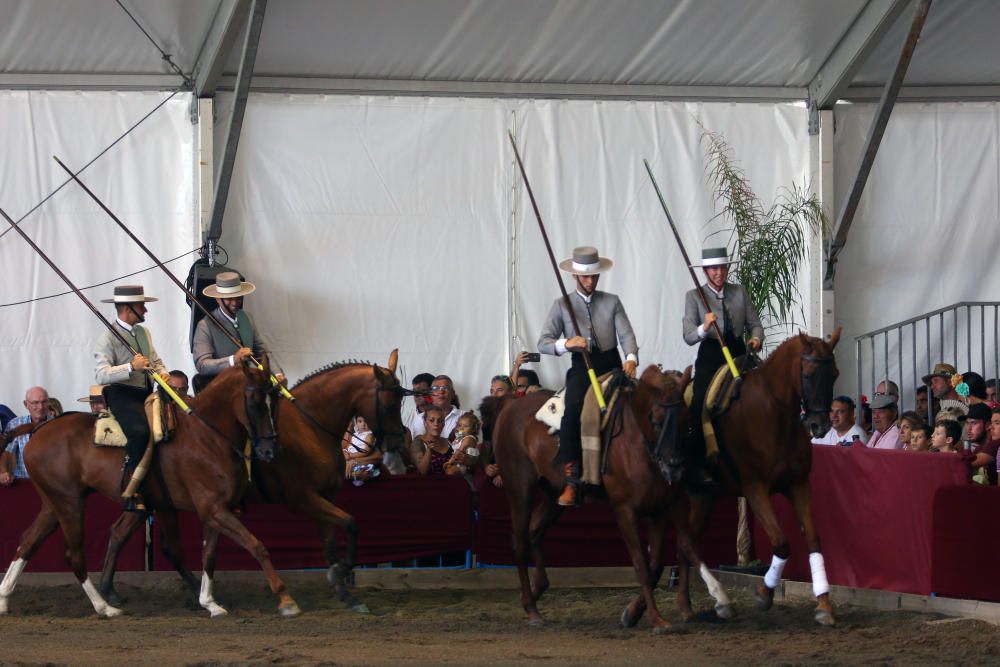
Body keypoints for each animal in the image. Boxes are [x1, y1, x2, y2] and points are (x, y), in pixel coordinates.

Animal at [0, 362, 290, 620]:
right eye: (253, 401)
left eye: (274, 400)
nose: (269, 450)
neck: (205, 437)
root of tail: (39, 428)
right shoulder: (212, 509)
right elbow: (255, 545)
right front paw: (285, 599)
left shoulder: (214, 509)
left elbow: (209, 555)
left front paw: (210, 603)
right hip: (70, 504)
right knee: (74, 555)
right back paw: (105, 608)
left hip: (54, 504)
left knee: (27, 543)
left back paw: (4, 598)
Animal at [94, 350, 406, 616]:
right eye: (390, 403)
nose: (397, 446)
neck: (310, 428)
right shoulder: (304, 498)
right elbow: (351, 523)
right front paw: (342, 572)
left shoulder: (325, 497)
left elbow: (332, 540)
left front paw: (346, 592)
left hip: (151, 504)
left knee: (121, 533)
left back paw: (111, 593)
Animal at [486, 366, 732, 632]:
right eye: (655, 421)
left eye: (688, 422)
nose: (674, 468)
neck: (638, 446)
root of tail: (511, 404)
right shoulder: (625, 510)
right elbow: (642, 565)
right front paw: (656, 618)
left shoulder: (660, 509)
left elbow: (665, 559)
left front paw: (720, 599)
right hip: (520, 488)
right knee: (520, 542)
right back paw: (531, 609)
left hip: (553, 495)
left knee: (534, 530)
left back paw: (536, 590)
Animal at [632, 332, 844, 628]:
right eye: (809, 374)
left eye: (834, 374)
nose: (820, 426)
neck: (776, 412)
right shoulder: (755, 488)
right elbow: (781, 542)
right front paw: (764, 594)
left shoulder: (799, 485)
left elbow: (813, 539)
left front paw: (824, 604)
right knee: (667, 551)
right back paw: (639, 610)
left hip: (703, 497)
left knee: (685, 546)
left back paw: (683, 606)